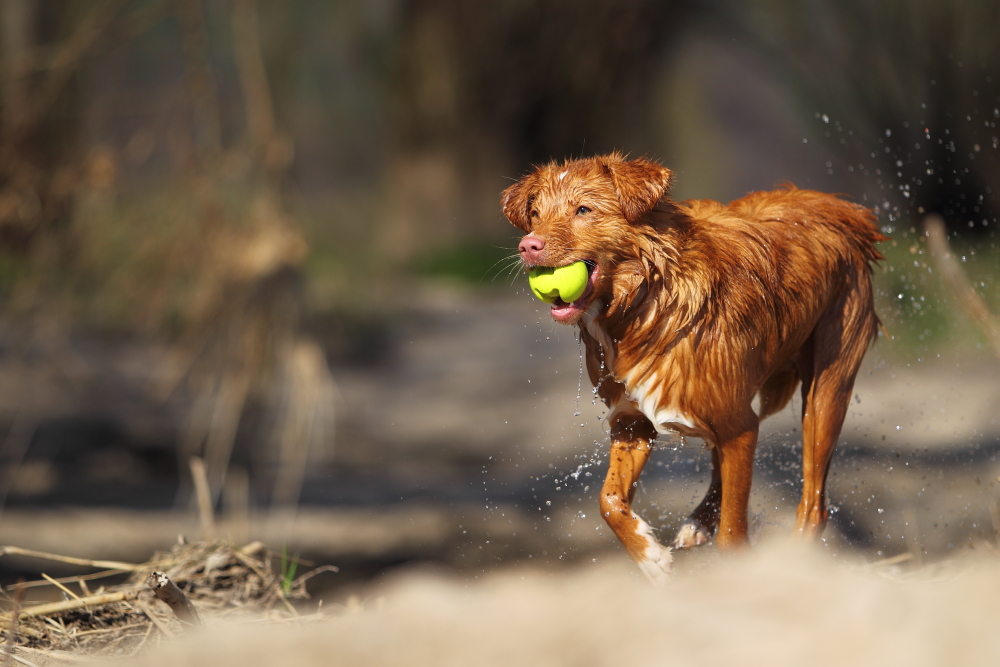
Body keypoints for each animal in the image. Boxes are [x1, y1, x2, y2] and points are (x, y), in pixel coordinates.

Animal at [500, 154, 884, 580]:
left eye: (583, 210)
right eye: (535, 215)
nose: (528, 245)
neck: (646, 305)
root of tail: (837, 206)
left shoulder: (738, 426)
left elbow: (732, 534)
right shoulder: (633, 421)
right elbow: (609, 499)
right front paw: (650, 557)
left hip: (825, 392)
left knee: (814, 505)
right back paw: (699, 523)